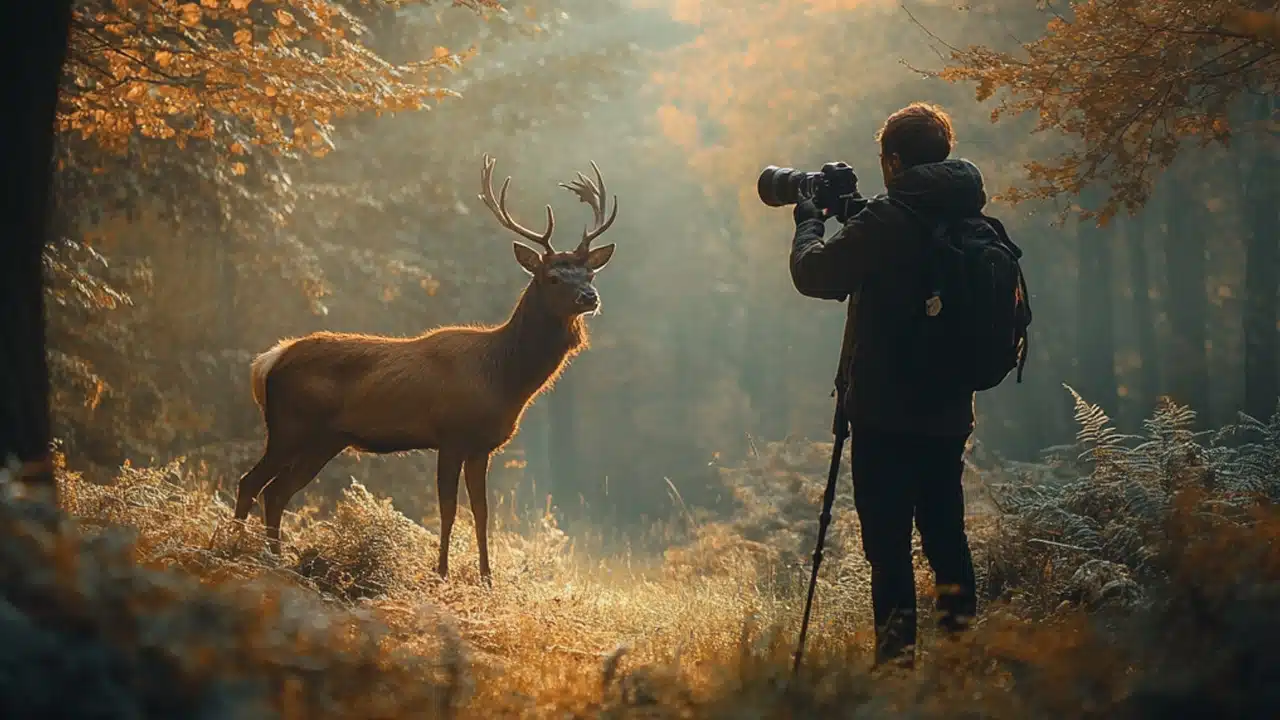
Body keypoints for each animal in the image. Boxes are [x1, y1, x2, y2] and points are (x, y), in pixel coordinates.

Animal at [232, 154, 616, 579]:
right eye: (553, 276)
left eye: (590, 272)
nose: (590, 296)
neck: (502, 377)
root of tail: (268, 361)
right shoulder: (450, 435)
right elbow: (448, 510)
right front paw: (442, 572)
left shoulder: (481, 446)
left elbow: (481, 512)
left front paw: (486, 578)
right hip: (289, 425)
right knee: (250, 482)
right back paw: (232, 550)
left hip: (325, 439)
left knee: (276, 492)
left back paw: (277, 559)